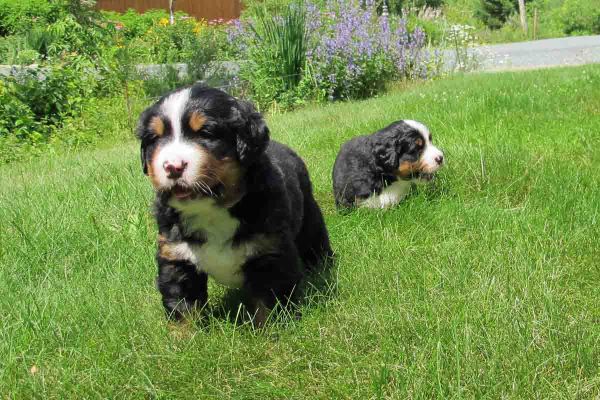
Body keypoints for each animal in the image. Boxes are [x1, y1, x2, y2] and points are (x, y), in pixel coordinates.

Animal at [137, 85, 332, 324]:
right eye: (155, 138)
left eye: (205, 133)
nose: (173, 166)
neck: (211, 212)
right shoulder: (176, 258)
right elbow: (183, 308)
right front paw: (186, 334)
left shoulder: (269, 253)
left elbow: (269, 306)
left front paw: (272, 331)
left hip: (310, 218)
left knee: (315, 242)